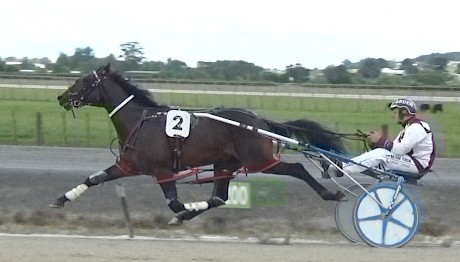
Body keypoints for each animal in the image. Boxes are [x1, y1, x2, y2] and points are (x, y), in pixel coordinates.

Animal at [50, 64, 344, 225]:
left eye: (84, 80)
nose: (62, 97)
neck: (141, 121)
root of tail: (258, 120)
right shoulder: (128, 165)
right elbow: (94, 178)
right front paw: (61, 199)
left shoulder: (162, 170)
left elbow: (174, 203)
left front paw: (182, 214)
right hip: (225, 163)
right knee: (218, 197)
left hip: (259, 160)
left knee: (297, 169)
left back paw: (331, 194)